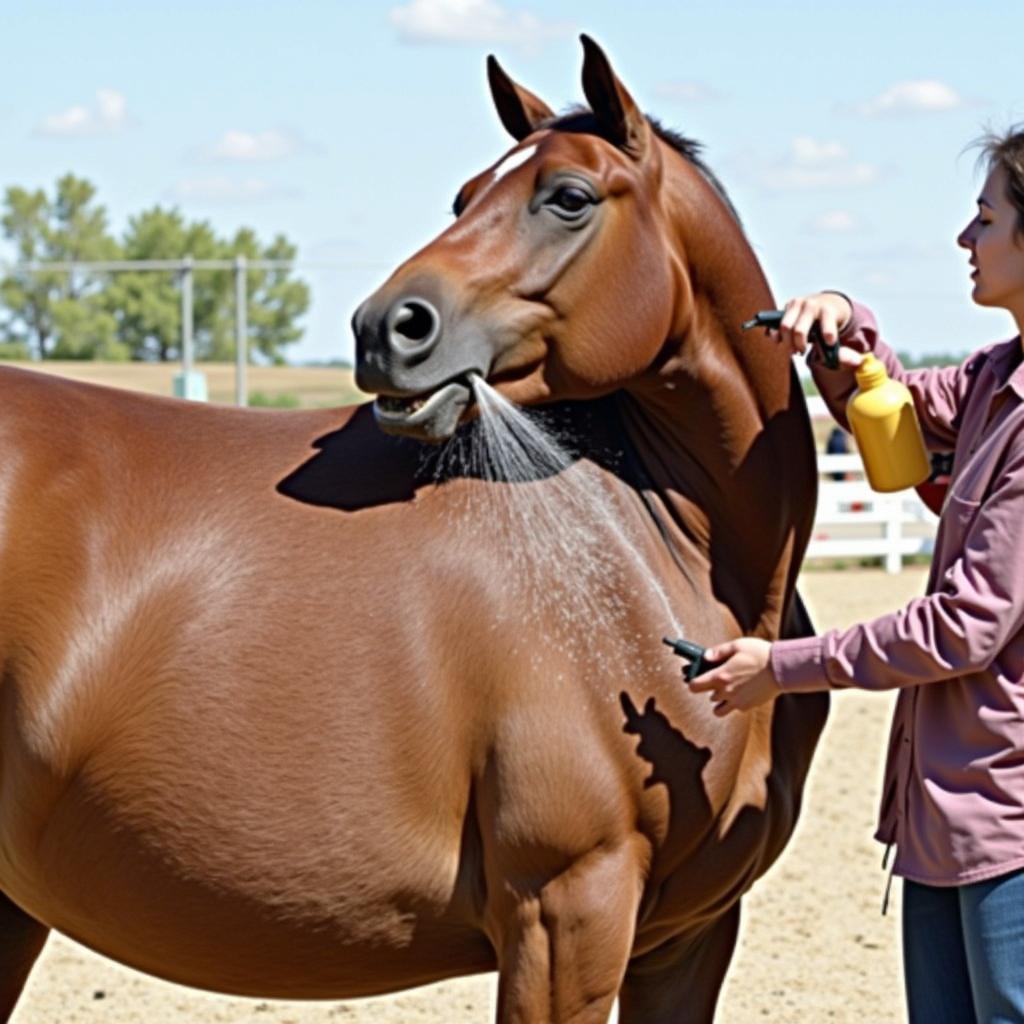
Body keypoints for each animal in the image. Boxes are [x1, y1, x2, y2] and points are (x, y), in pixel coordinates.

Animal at [0, 36, 823, 1024]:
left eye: (569, 196)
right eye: (465, 197)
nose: (382, 329)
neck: (650, 554)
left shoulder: (689, 940)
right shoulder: (565, 913)